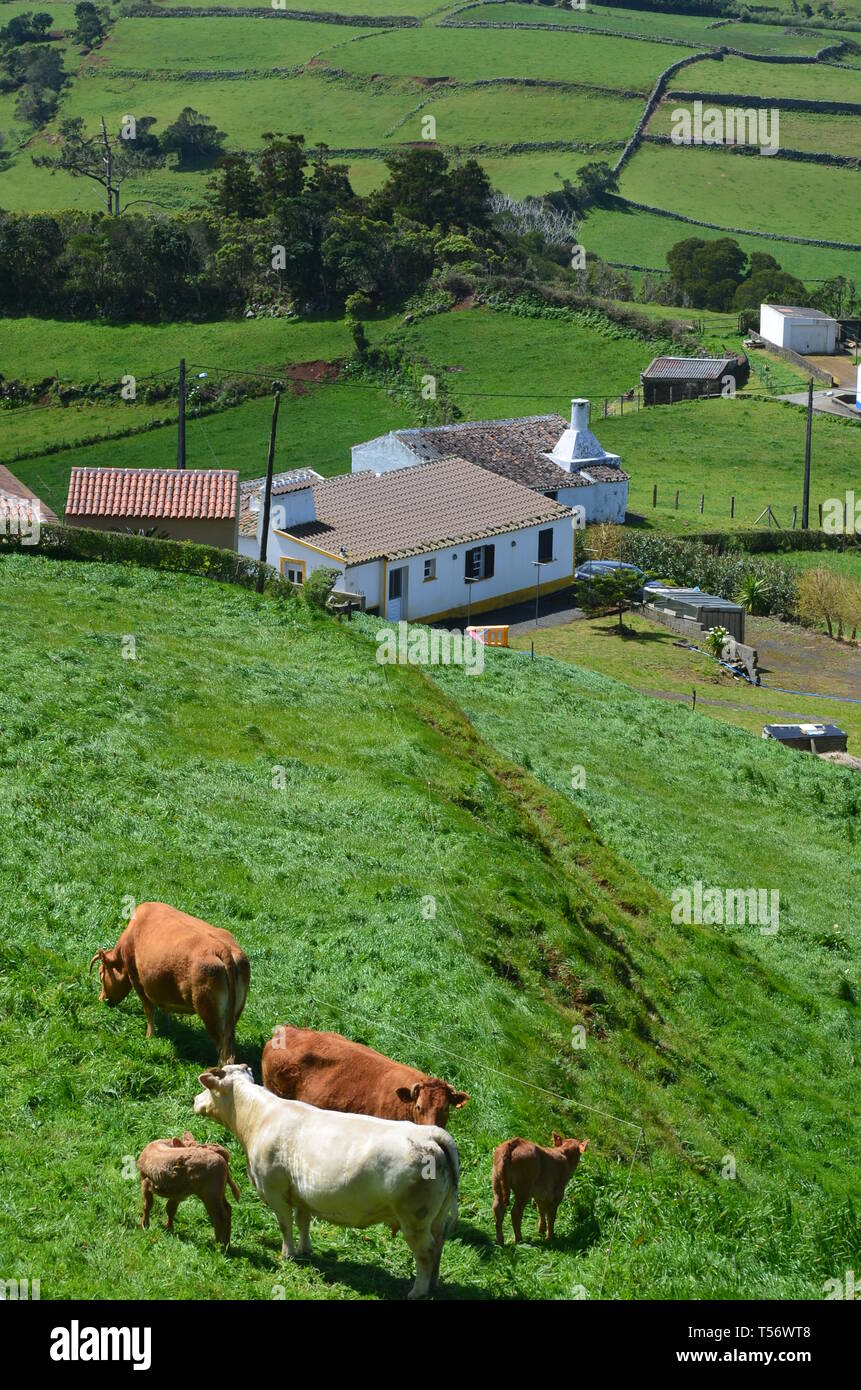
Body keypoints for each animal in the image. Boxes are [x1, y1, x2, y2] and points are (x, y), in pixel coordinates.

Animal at [193, 1061, 461, 1301]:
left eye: (209, 1088)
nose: (195, 1100)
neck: (258, 1117)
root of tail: (431, 1134)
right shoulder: (301, 1193)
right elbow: (302, 1222)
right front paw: (304, 1250)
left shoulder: (274, 1191)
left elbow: (285, 1224)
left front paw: (287, 1255)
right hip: (435, 1219)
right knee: (438, 1246)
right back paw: (433, 1284)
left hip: (415, 1219)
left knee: (425, 1252)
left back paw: (417, 1291)